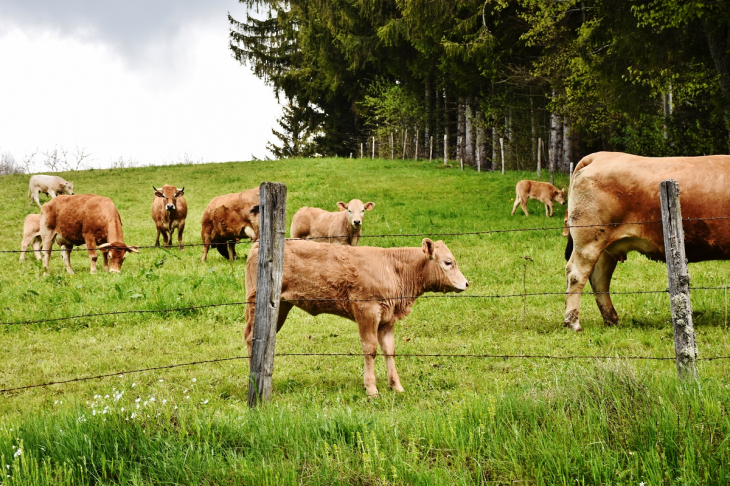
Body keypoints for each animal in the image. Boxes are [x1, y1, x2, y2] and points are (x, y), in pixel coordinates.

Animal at [243, 237, 466, 396]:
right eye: (448, 262)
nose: (466, 283)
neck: (393, 268)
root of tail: (257, 246)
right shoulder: (367, 311)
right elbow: (370, 349)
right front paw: (371, 389)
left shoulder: (387, 319)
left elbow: (389, 351)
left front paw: (396, 386)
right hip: (256, 304)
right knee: (250, 337)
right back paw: (253, 379)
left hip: (281, 307)